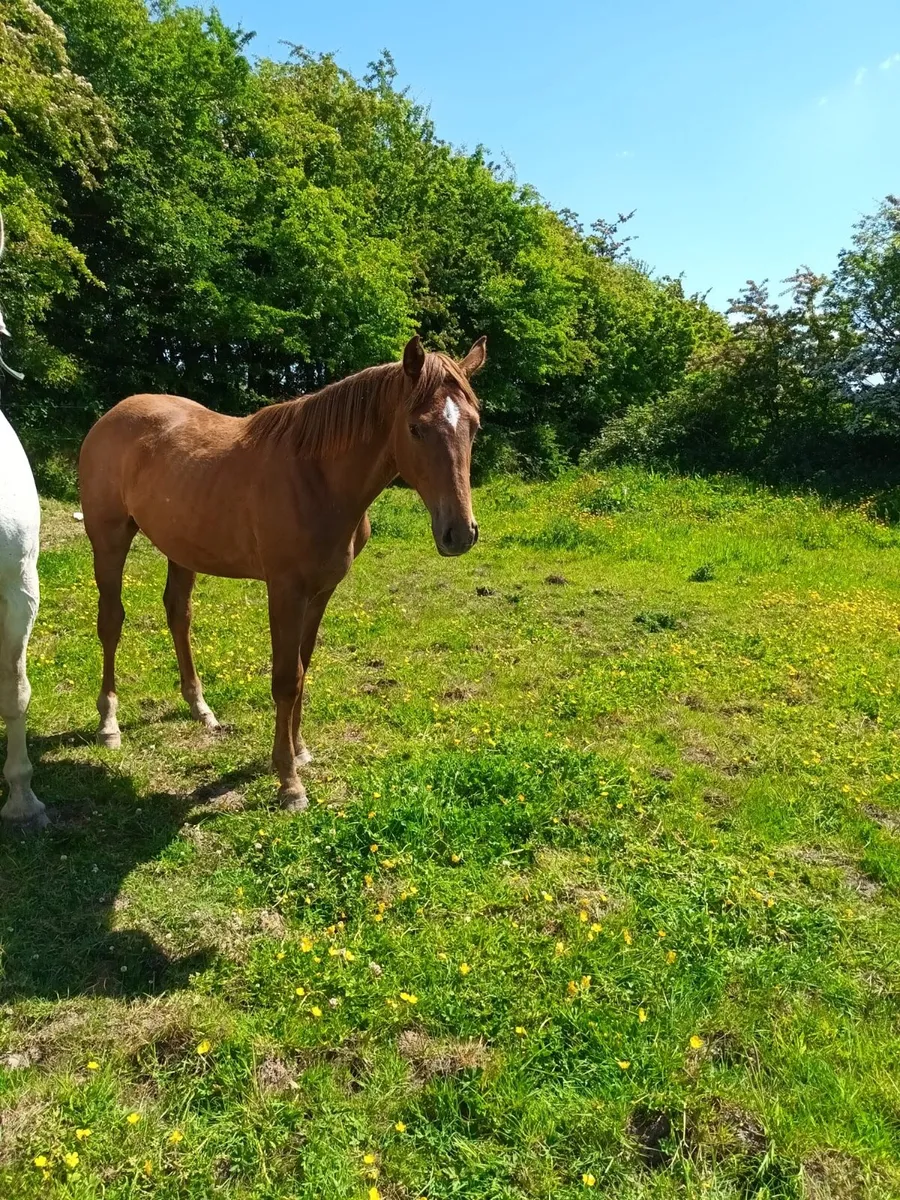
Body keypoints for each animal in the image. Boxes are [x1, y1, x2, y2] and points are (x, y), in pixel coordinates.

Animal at [78, 334, 485, 811]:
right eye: (416, 428)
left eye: (474, 426)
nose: (460, 533)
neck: (318, 478)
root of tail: (111, 416)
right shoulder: (285, 591)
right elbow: (286, 680)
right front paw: (289, 783)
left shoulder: (321, 592)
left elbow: (302, 671)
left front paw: (300, 751)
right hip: (109, 541)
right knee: (111, 622)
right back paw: (109, 724)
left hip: (181, 549)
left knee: (178, 615)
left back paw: (201, 709)